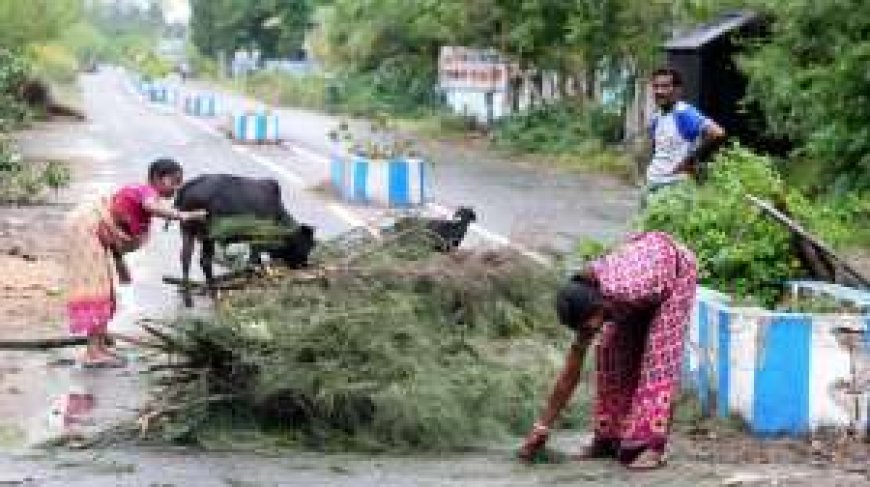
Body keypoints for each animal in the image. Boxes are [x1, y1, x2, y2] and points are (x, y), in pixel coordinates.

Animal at [173, 174, 316, 298]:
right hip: (208, 235)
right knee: (205, 261)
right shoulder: (258, 240)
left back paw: (189, 297)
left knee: (186, 258)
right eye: (307, 243)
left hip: (188, 231)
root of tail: (186, 187)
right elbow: (252, 263)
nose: (304, 265)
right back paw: (213, 291)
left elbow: (256, 263)